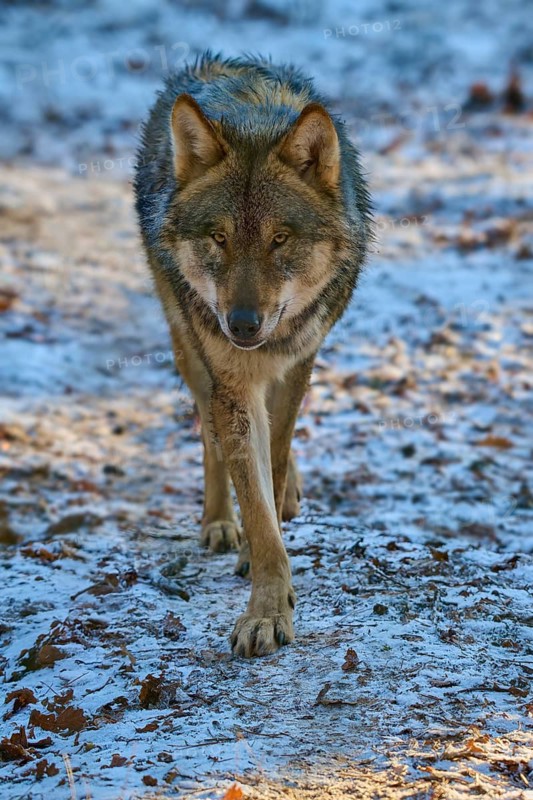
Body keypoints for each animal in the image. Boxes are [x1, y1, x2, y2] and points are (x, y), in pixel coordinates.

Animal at [134, 52, 371, 658]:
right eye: (219, 238)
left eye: (279, 239)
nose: (241, 324)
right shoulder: (234, 382)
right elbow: (256, 507)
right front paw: (266, 610)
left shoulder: (297, 366)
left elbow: (277, 462)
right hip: (190, 352)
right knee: (209, 432)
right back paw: (220, 522)